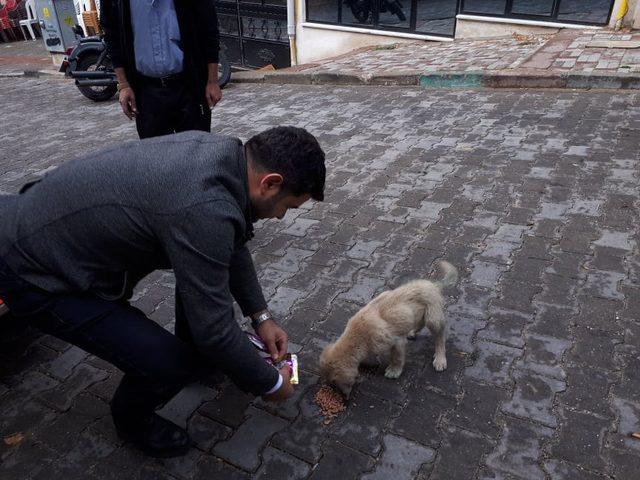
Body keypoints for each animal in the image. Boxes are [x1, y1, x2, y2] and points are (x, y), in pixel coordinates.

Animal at [318, 260, 458, 400]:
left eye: (333, 385)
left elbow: (397, 358)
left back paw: (440, 359)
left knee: (440, 336)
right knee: (420, 323)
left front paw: (394, 371)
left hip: (433, 318)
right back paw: (412, 332)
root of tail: (434, 285)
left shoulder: (397, 341)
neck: (359, 336)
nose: (342, 397)